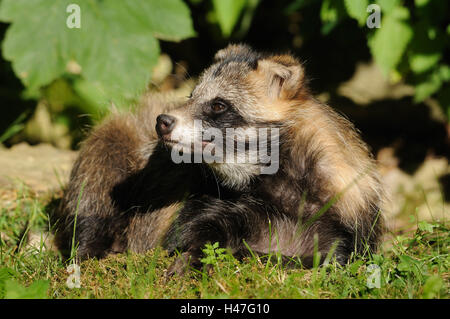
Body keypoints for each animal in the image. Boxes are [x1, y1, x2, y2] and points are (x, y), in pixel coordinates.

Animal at [52, 43, 384, 272]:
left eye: (218, 105)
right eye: (191, 96)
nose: (162, 121)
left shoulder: (345, 220)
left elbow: (331, 259)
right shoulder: (211, 199)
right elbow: (188, 231)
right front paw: (198, 255)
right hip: (115, 140)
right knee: (95, 191)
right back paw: (90, 248)